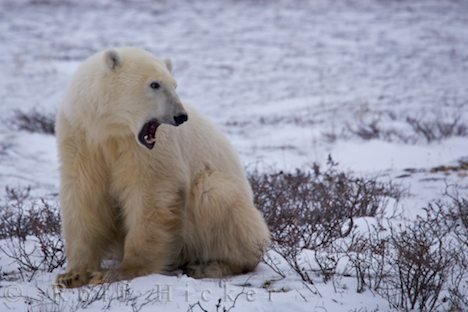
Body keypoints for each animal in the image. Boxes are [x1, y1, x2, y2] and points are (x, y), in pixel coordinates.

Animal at [55, 47, 270, 288]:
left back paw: (209, 266)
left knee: (215, 196)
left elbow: (150, 193)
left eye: (174, 85)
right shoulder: (81, 138)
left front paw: (120, 272)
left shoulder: (148, 149)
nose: (181, 116)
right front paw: (73, 275)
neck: (110, 129)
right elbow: (83, 195)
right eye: (155, 84)